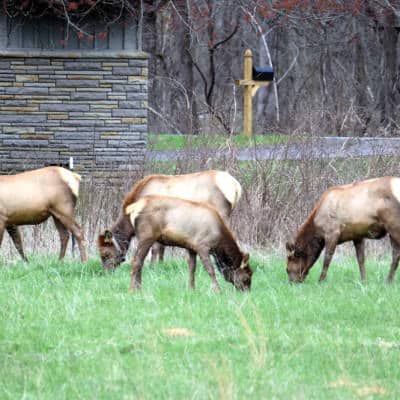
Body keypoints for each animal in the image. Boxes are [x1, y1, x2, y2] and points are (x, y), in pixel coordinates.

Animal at [97, 170, 242, 268]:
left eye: (105, 254)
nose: (107, 271)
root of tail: (236, 187)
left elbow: (155, 248)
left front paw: (152, 266)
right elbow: (162, 248)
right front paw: (160, 265)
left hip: (220, 214)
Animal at [99, 195, 253, 292]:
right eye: (247, 276)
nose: (247, 292)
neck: (219, 239)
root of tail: (134, 208)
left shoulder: (191, 248)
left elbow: (192, 269)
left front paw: (192, 289)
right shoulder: (202, 246)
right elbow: (210, 270)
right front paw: (217, 290)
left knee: (140, 262)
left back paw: (138, 288)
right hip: (147, 236)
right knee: (136, 261)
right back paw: (132, 290)